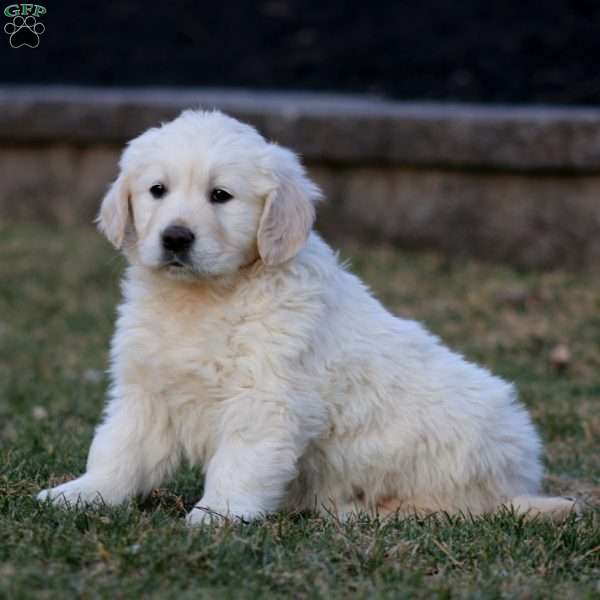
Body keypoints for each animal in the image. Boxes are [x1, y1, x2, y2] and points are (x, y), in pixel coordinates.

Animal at [36, 110, 572, 524]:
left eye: (220, 195)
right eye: (157, 190)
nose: (175, 238)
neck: (206, 298)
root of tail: (518, 480)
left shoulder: (264, 397)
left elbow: (240, 463)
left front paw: (216, 516)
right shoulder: (147, 391)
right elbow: (118, 449)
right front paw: (81, 493)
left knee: (456, 507)